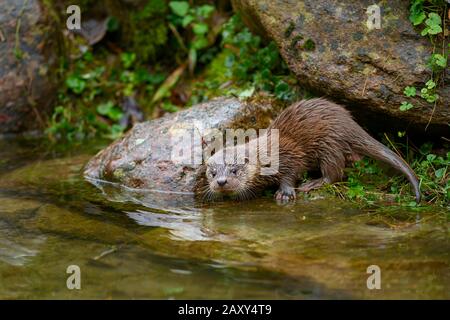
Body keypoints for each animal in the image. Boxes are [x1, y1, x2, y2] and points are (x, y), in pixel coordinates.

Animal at [198, 97, 422, 202]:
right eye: (212, 173)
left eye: (235, 170)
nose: (221, 182)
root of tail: (350, 123)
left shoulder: (288, 156)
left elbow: (291, 173)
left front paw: (285, 193)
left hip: (329, 144)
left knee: (334, 173)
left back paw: (312, 183)